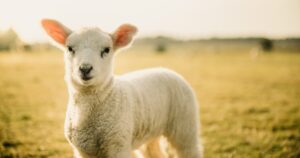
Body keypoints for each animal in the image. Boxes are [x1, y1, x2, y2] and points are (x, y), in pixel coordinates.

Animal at [41, 18, 203, 158]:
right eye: (70, 48)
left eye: (106, 50)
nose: (85, 69)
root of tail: (167, 70)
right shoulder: (83, 151)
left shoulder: (118, 145)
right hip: (151, 133)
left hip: (185, 127)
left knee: (190, 150)